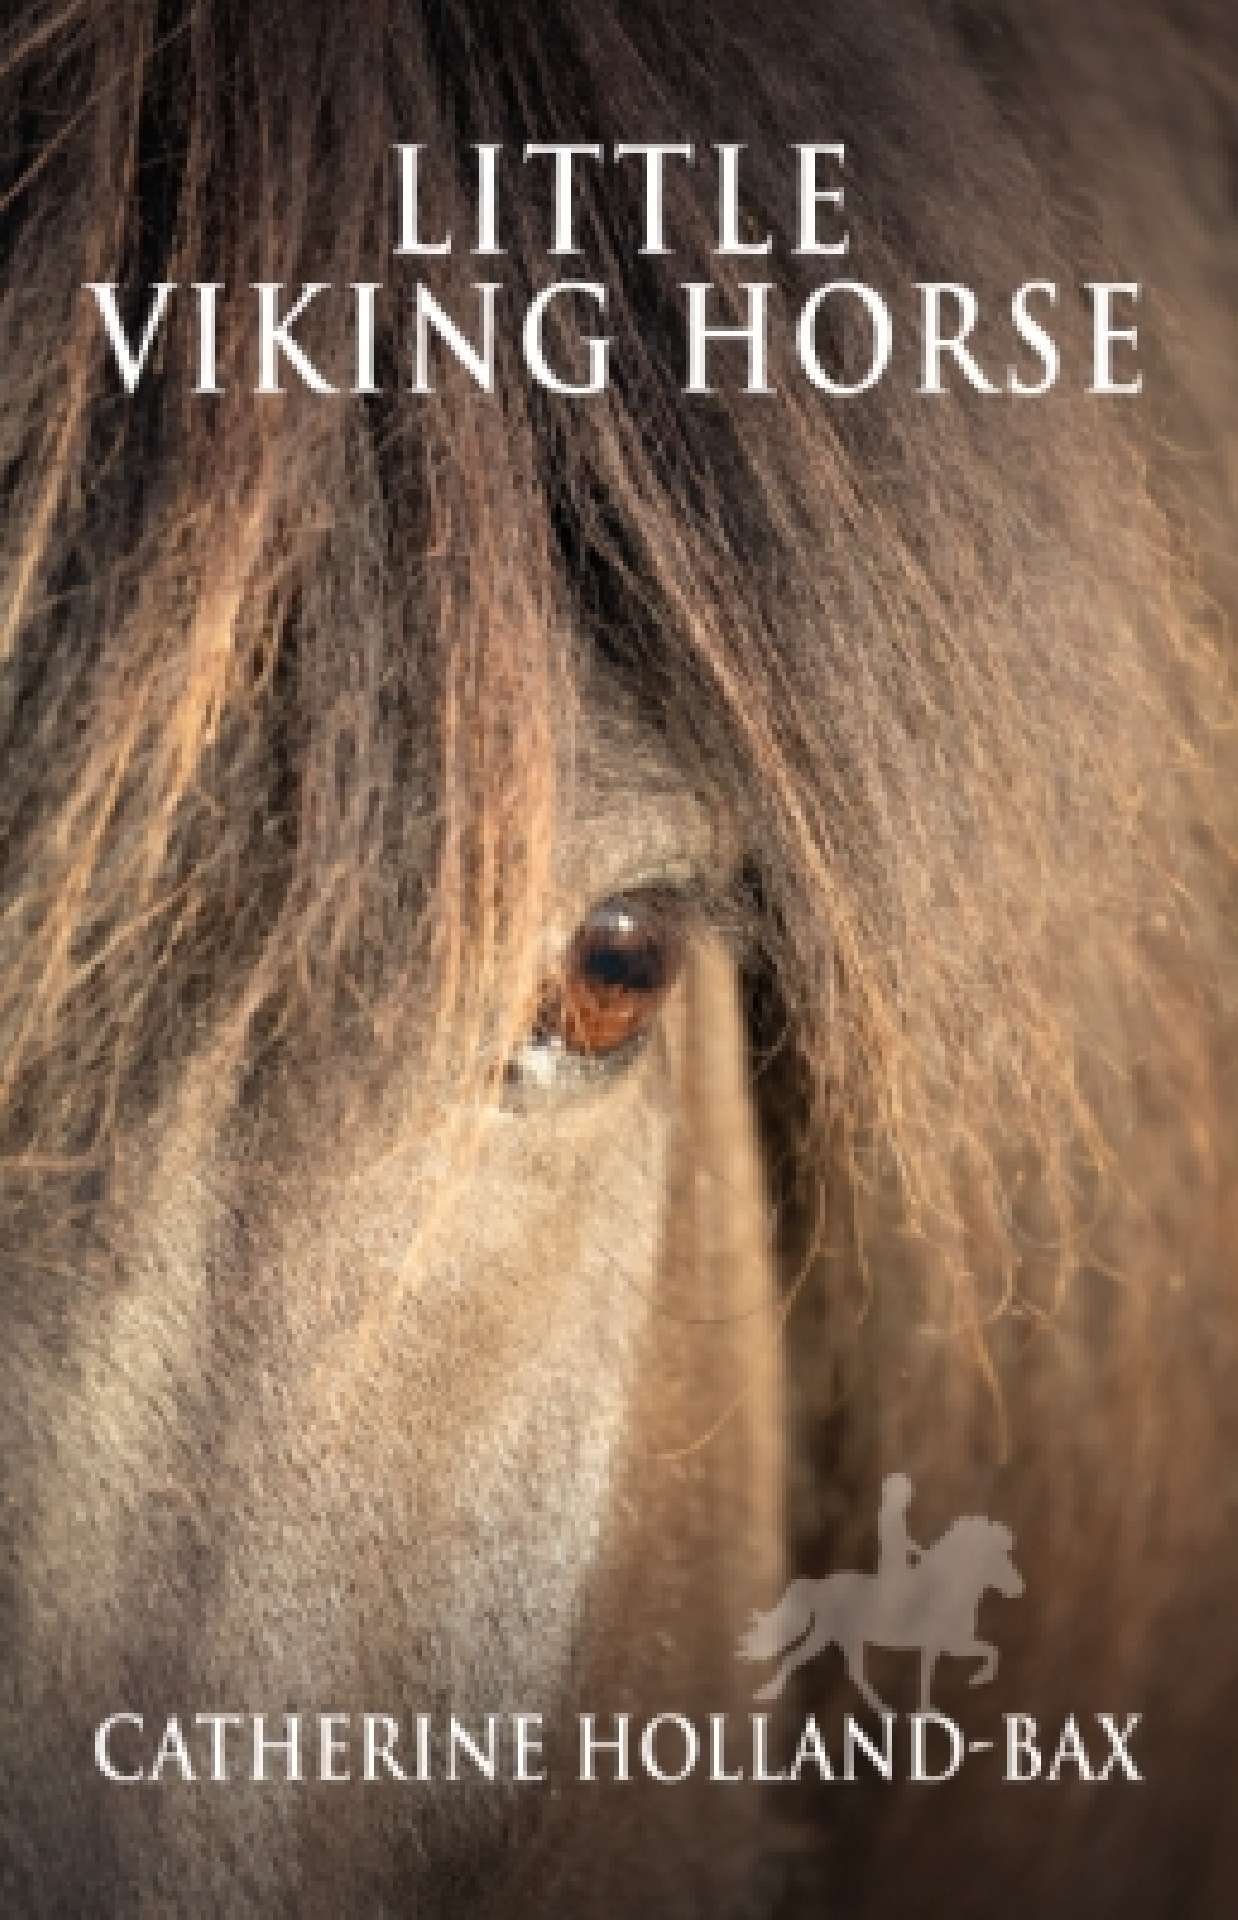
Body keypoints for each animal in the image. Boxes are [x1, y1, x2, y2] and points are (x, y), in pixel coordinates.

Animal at [740, 1515, 1025, 1712]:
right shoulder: (944, 1644)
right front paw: (939, 1704)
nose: (1019, 1588)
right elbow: (938, 1671)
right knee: (810, 1661)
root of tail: (820, 1586)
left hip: (840, 1637)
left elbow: (989, 1651)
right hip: (832, 1634)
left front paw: (972, 1683)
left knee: (848, 1671)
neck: (946, 1591)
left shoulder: (949, 1645)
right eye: (1000, 1560)